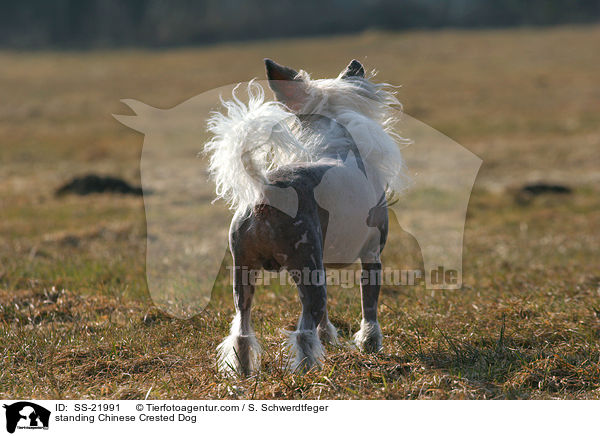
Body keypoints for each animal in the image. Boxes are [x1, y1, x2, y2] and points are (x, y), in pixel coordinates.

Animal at [203, 58, 408, 374]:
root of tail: (266, 191)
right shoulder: (372, 255)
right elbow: (369, 307)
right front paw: (370, 344)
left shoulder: (323, 262)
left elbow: (325, 318)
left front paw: (329, 338)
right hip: (308, 270)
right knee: (302, 331)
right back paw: (307, 369)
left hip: (244, 274)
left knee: (242, 329)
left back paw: (245, 370)